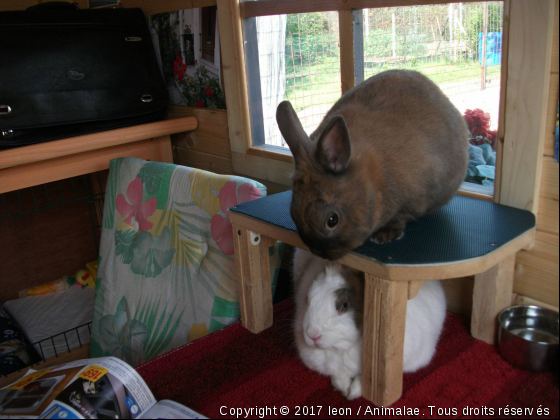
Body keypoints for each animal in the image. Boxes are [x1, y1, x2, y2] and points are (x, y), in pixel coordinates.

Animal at [278, 69, 468, 260]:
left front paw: (385, 235)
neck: (372, 181)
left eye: (332, 220)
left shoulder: (414, 199)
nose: (321, 254)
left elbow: (401, 218)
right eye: (293, 212)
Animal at [294, 249, 446, 400]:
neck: (343, 349)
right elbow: (338, 377)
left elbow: (366, 381)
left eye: (345, 305)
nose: (312, 335)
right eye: (308, 298)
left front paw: (353, 393)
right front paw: (345, 390)